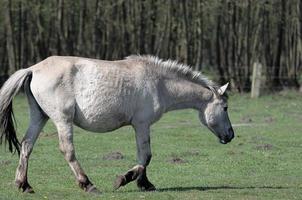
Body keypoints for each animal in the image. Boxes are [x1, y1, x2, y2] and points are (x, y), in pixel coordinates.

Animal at [0, 55, 235, 194]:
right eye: (225, 108)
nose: (230, 135)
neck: (159, 83)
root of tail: (33, 69)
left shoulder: (140, 126)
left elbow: (144, 156)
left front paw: (144, 183)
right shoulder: (142, 124)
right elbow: (145, 155)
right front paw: (126, 179)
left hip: (39, 117)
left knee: (26, 145)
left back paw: (23, 185)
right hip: (62, 120)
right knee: (67, 150)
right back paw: (87, 184)